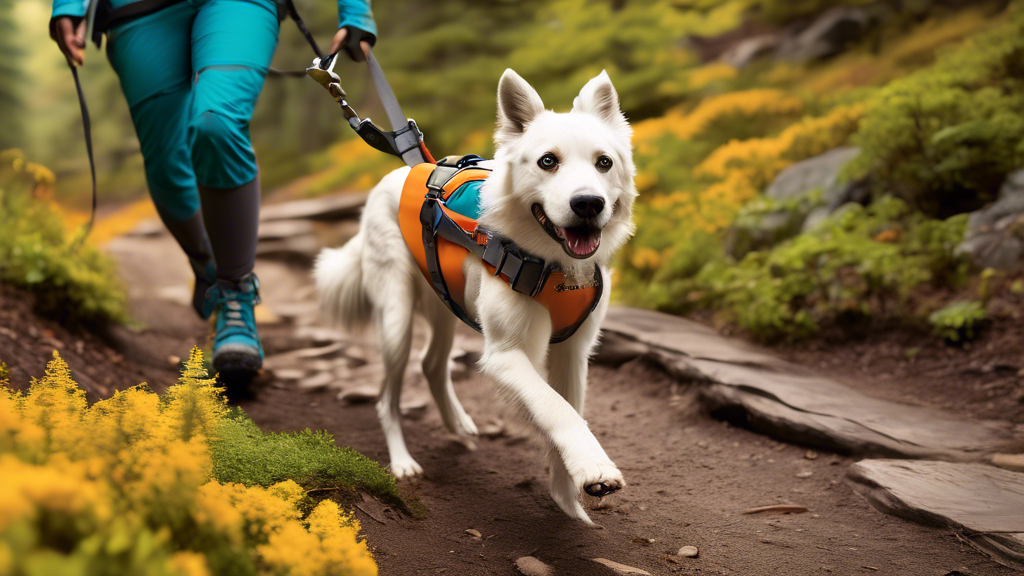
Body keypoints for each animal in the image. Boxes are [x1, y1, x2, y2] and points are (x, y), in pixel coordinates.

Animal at [315, 67, 634, 520]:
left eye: (603, 162)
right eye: (548, 161)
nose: (588, 203)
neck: (553, 264)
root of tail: (399, 174)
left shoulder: (573, 353)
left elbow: (567, 410)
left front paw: (568, 502)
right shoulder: (505, 355)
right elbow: (557, 410)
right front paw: (594, 469)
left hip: (446, 304)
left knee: (432, 365)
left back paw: (458, 425)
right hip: (396, 321)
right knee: (387, 396)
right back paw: (402, 461)